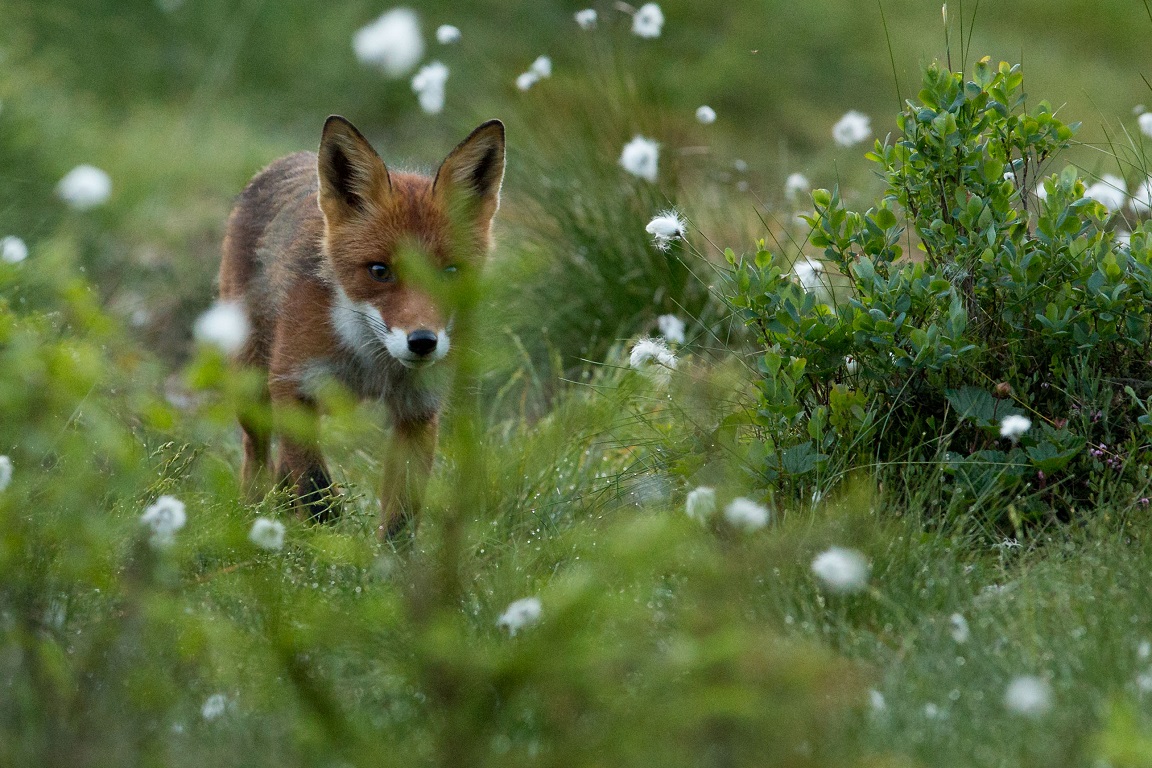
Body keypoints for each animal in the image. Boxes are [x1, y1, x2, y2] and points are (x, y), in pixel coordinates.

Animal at [217, 115, 506, 541]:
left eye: (450, 272)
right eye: (379, 271)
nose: (423, 342)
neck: (372, 362)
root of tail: (283, 161)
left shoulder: (417, 410)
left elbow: (402, 513)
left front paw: (388, 558)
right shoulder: (292, 382)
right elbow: (317, 489)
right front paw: (327, 545)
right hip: (253, 386)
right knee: (257, 453)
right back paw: (254, 512)